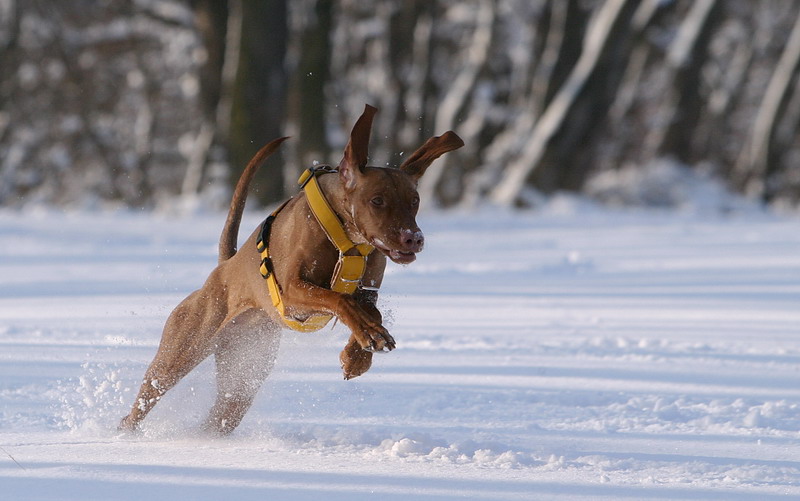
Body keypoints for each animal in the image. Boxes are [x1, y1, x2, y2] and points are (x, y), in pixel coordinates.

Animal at [115, 104, 460, 434]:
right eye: (377, 200)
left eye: (414, 200)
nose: (414, 238)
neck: (345, 236)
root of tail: (224, 267)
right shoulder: (292, 293)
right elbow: (339, 299)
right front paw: (368, 335)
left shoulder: (368, 290)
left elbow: (368, 309)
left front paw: (358, 354)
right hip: (182, 350)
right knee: (147, 396)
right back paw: (126, 432)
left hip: (245, 367)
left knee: (223, 413)